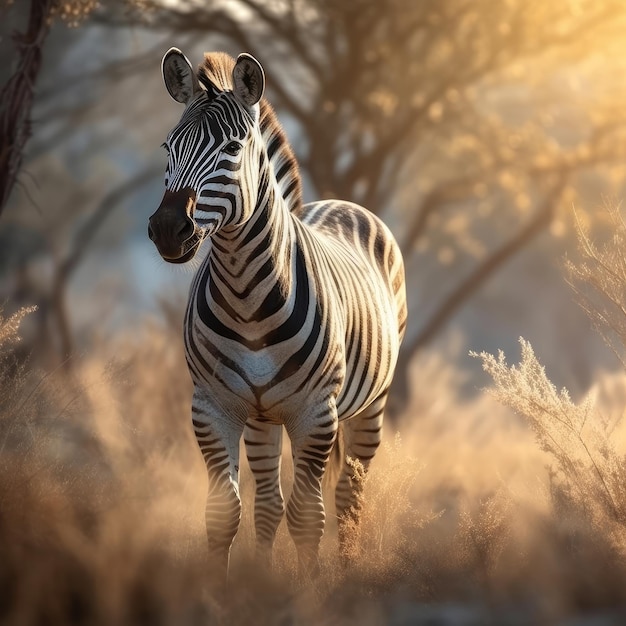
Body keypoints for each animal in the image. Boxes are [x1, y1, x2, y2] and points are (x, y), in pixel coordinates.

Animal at [149, 48, 408, 576]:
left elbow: (308, 516)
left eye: (232, 148)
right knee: (268, 502)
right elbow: (225, 511)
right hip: (263, 418)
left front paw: (308, 590)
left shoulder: (315, 413)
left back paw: (348, 571)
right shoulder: (212, 406)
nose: (167, 229)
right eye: (168, 147)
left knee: (349, 497)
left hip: (371, 405)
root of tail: (341, 202)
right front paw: (227, 590)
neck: (247, 298)